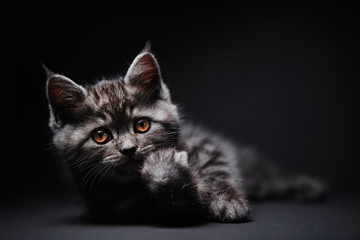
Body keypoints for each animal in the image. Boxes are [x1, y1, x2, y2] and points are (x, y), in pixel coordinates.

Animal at [46, 44, 328, 223]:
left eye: (142, 125)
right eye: (101, 136)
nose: (129, 149)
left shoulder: (206, 145)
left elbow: (218, 171)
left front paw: (228, 202)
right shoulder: (122, 206)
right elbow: (182, 204)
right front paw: (164, 169)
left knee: (269, 173)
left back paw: (310, 186)